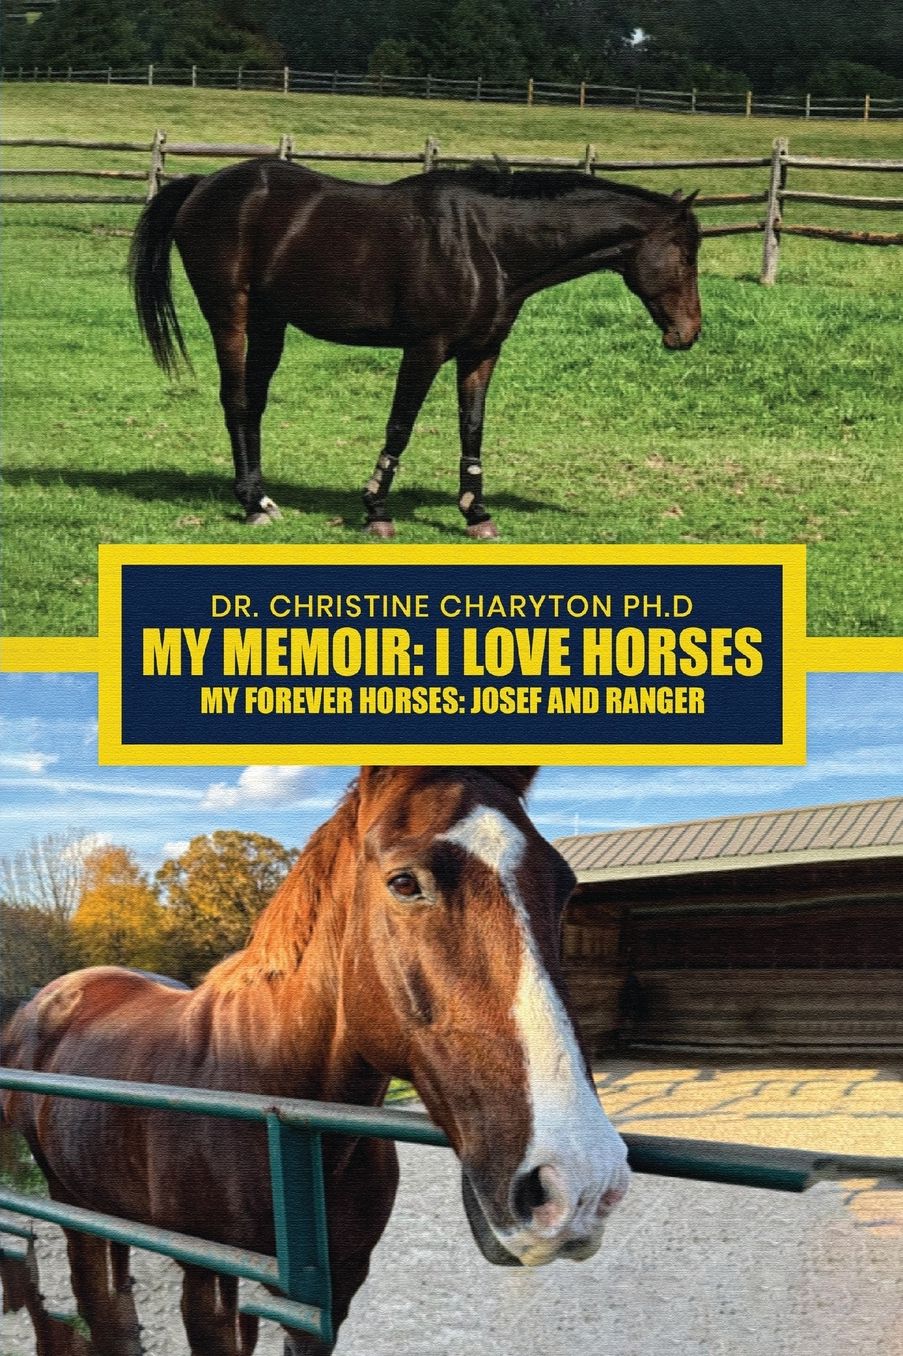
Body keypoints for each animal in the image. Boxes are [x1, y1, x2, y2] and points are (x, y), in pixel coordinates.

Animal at [2, 766, 630, 1356]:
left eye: (564, 888)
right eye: (405, 882)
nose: (579, 1186)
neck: (266, 1096)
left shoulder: (331, 1293)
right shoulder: (210, 1284)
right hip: (69, 1200)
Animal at [128, 160, 701, 537]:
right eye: (684, 253)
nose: (688, 333)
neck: (487, 243)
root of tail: (205, 183)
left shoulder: (481, 352)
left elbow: (472, 427)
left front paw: (476, 513)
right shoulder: (425, 349)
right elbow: (400, 426)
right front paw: (376, 509)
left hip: (272, 323)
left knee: (254, 405)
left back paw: (263, 498)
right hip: (231, 316)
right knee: (236, 400)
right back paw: (250, 505)